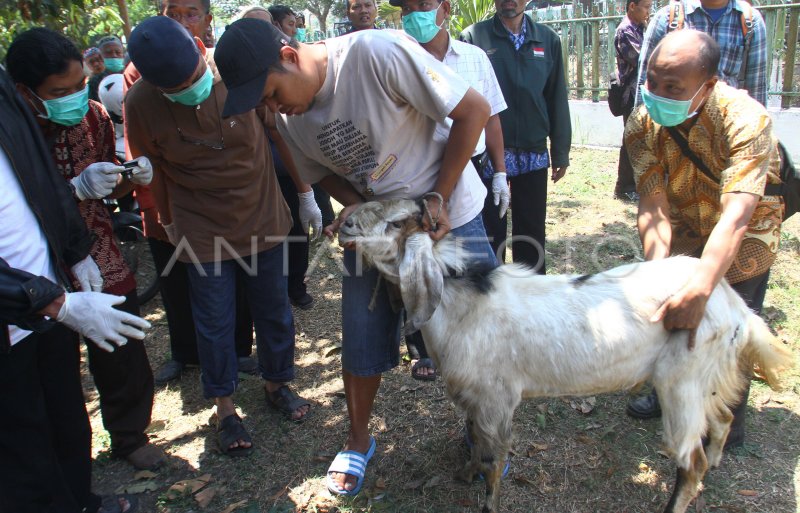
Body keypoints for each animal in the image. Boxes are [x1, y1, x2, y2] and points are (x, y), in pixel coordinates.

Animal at [340, 198, 792, 512]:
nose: (342, 220)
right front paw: (465, 472)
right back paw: (715, 465)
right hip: (707, 377)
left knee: (689, 460)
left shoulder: (496, 400)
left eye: (396, 222)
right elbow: (476, 443)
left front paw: (488, 498)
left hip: (681, 382)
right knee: (723, 417)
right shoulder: (472, 398)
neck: (462, 305)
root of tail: (733, 304)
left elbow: (494, 455)